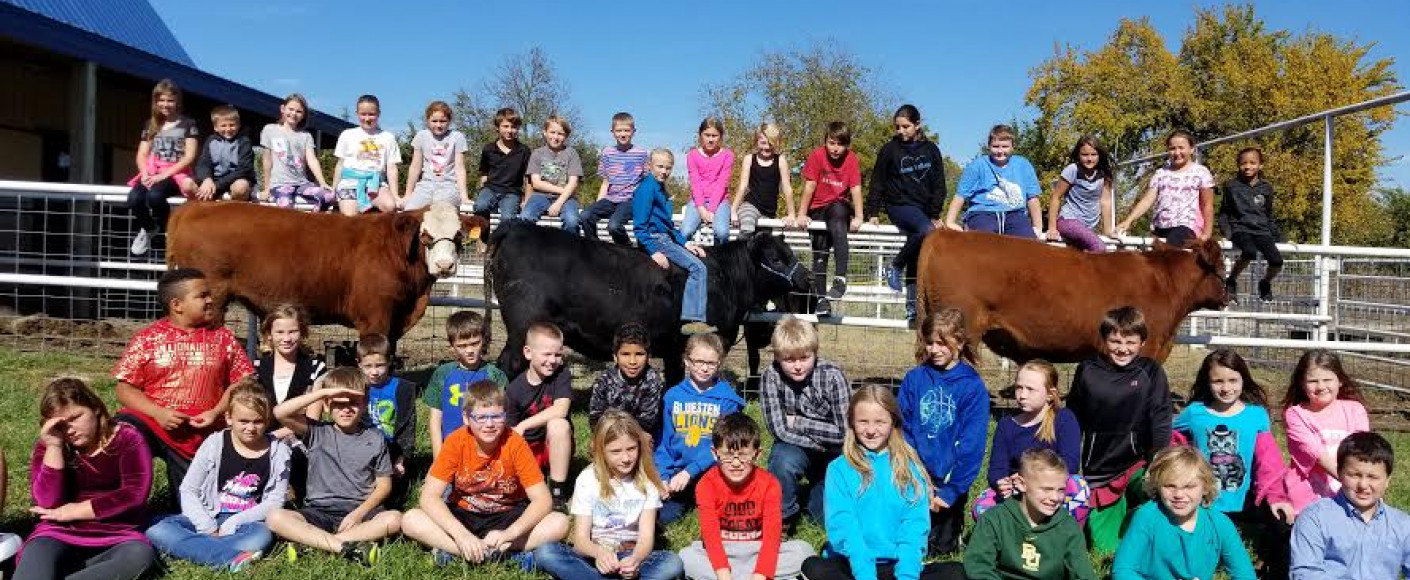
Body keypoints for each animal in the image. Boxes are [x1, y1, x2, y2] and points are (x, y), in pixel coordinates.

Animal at [490, 221, 812, 381]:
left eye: (789, 253)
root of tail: (518, 227)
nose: (806, 276)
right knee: (508, 365)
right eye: (775, 258)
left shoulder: (672, 347)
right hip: (524, 329)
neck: (725, 278)